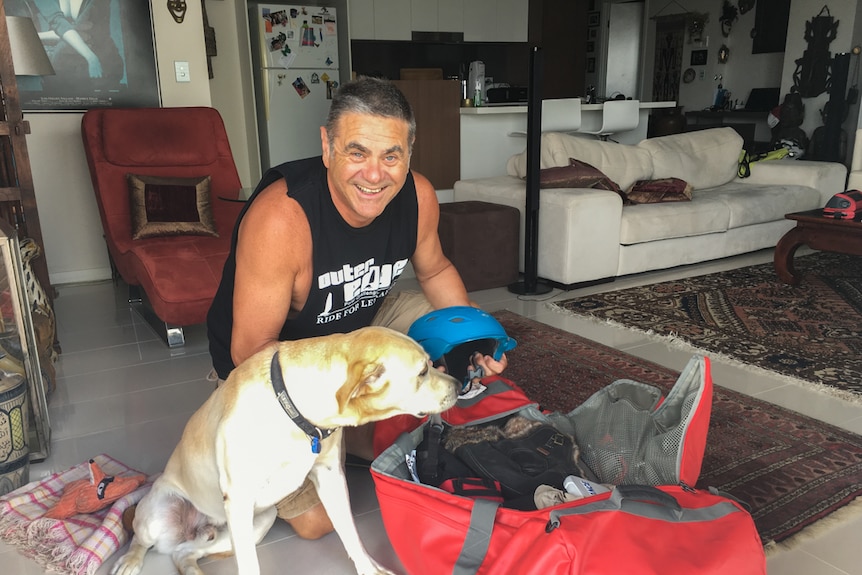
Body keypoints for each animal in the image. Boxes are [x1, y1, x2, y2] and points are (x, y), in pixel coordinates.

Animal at [111, 328, 462, 575]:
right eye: (422, 372)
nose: (460, 385)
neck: (294, 409)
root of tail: (197, 527)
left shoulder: (331, 477)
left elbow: (351, 533)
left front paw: (368, 569)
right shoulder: (239, 497)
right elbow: (250, 567)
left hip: (258, 522)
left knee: (183, 553)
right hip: (162, 513)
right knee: (141, 540)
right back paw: (129, 561)